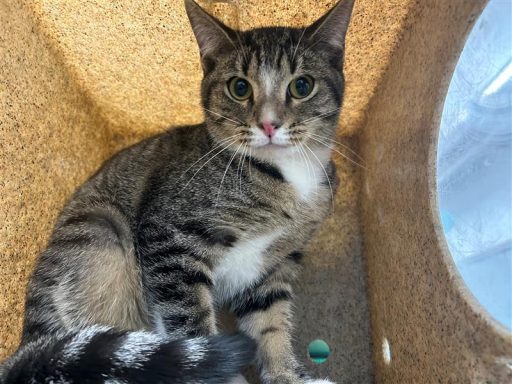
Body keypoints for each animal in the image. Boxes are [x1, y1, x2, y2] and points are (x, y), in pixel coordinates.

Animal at [1, 0, 356, 382]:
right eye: (240, 88)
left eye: (302, 85)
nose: (268, 124)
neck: (287, 176)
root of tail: (28, 344)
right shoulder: (169, 241)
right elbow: (190, 322)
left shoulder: (273, 267)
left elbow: (271, 324)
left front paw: (286, 374)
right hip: (99, 233)